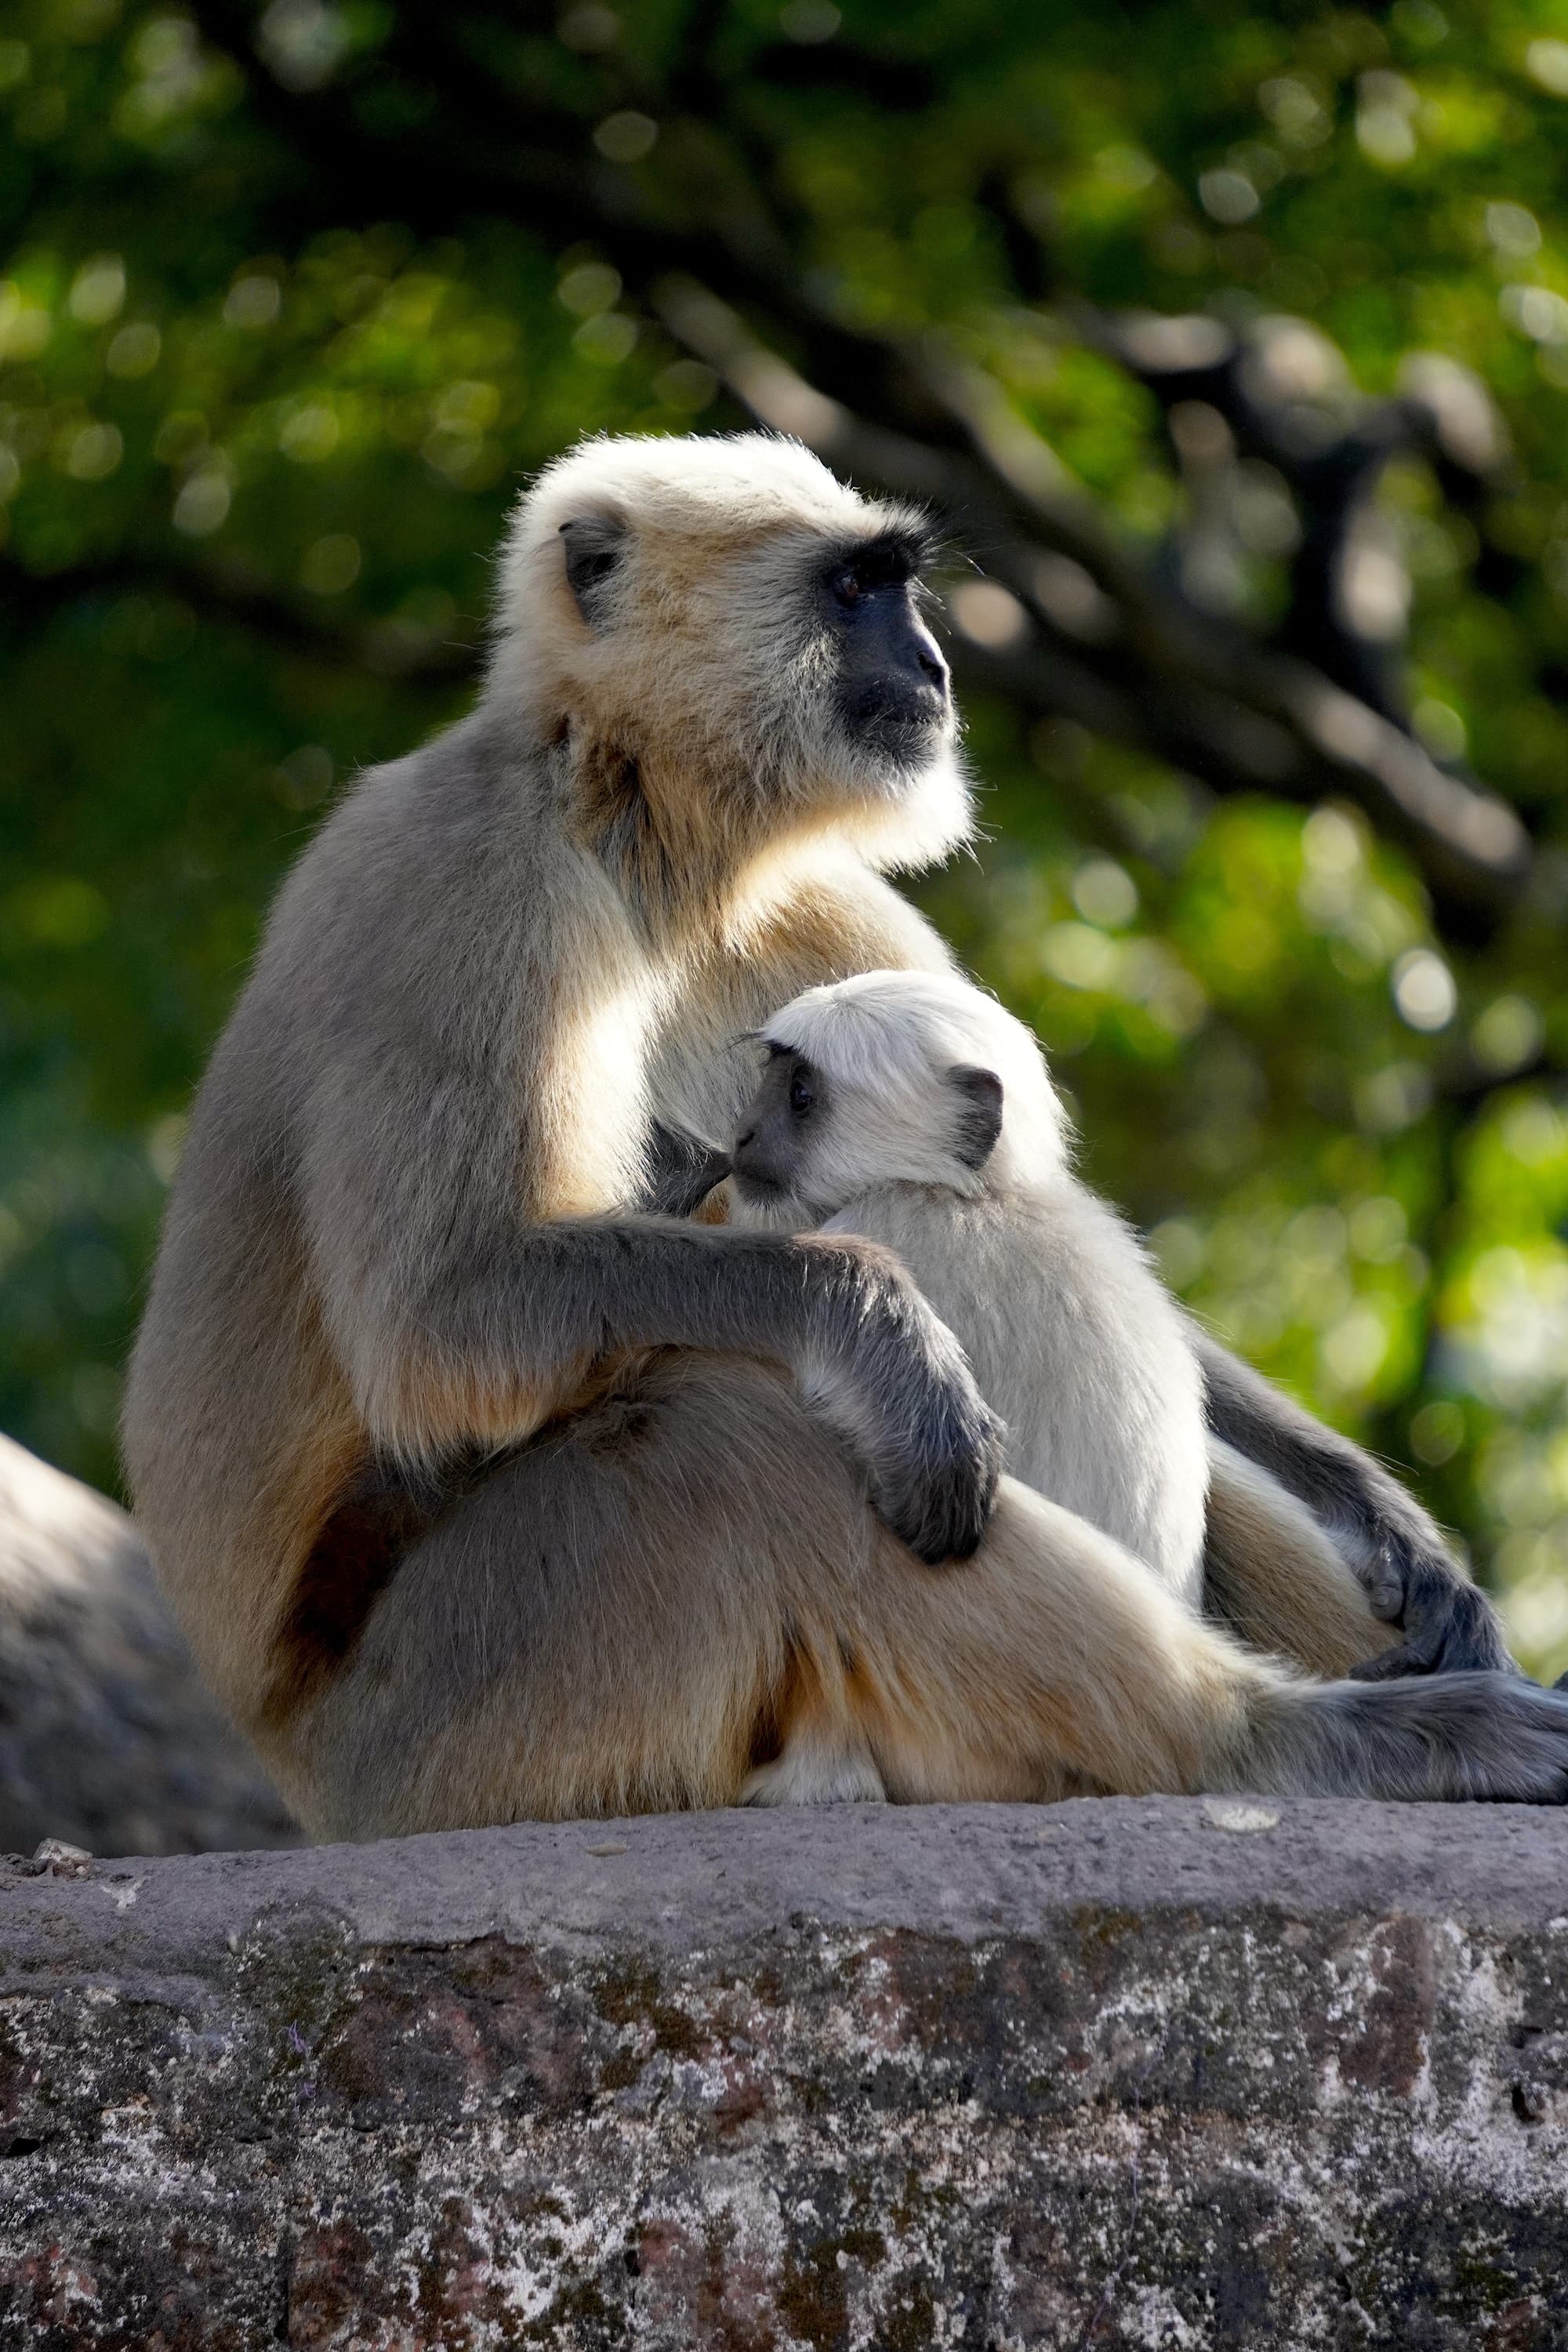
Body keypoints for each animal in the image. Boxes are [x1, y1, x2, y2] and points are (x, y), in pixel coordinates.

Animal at [122, 430, 1564, 1841]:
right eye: (855, 591)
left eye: (900, 587)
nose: (930, 663)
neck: (646, 833)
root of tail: (302, 1769)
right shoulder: (463, 871)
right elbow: (442, 1326)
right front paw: (876, 1327)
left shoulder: (822, 906)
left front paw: (1390, 1525)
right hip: (465, 1722)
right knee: (732, 1432)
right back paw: (1281, 1742)